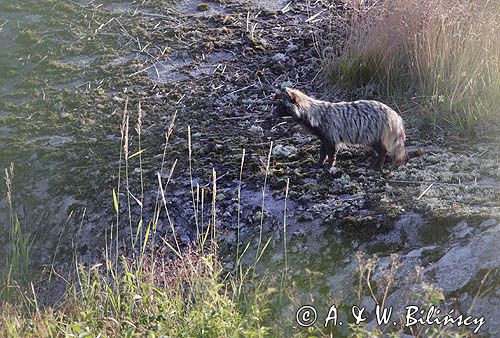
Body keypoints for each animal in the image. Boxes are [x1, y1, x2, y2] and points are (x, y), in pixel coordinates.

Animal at [274, 87, 406, 169]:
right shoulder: (323, 136)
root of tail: (393, 115)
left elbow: (331, 152)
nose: (272, 113)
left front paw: (329, 166)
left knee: (382, 149)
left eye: (282, 105)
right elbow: (322, 152)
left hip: (372, 133)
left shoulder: (330, 134)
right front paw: (318, 164)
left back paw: (378, 165)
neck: (313, 112)